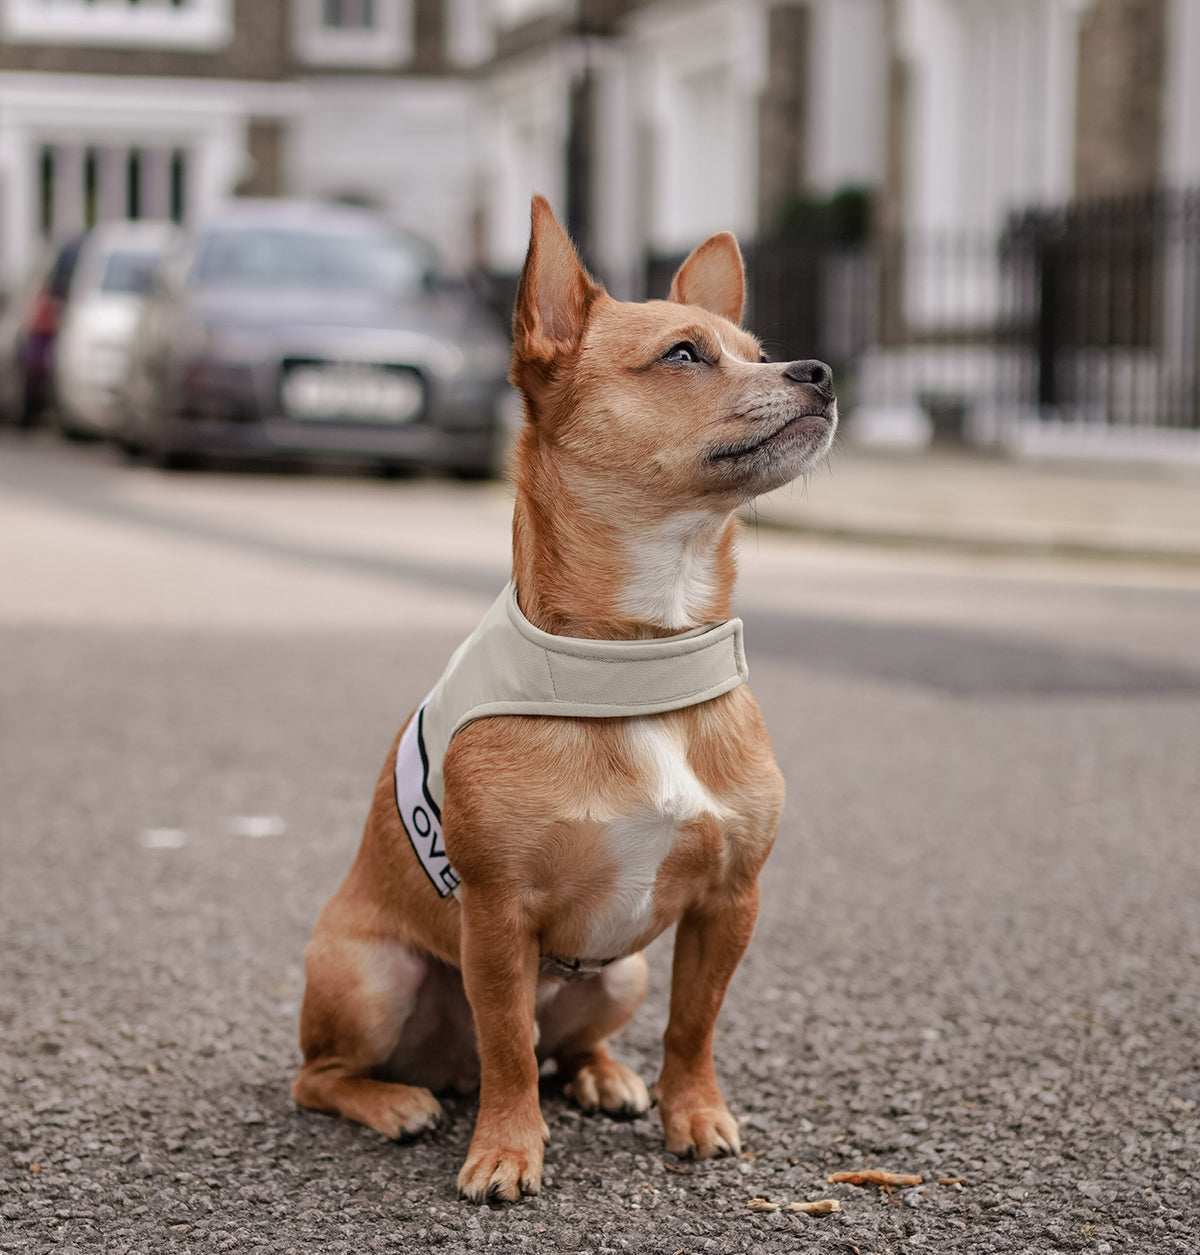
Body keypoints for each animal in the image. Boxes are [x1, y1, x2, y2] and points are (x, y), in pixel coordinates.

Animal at [291, 198, 833, 1204]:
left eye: (759, 349)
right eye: (685, 354)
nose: (817, 371)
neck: (638, 649)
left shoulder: (729, 903)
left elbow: (692, 1026)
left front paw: (692, 1112)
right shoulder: (498, 917)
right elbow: (509, 1042)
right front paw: (507, 1149)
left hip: (621, 974)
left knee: (574, 1042)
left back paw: (605, 1075)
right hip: (373, 976)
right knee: (328, 1074)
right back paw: (395, 1101)